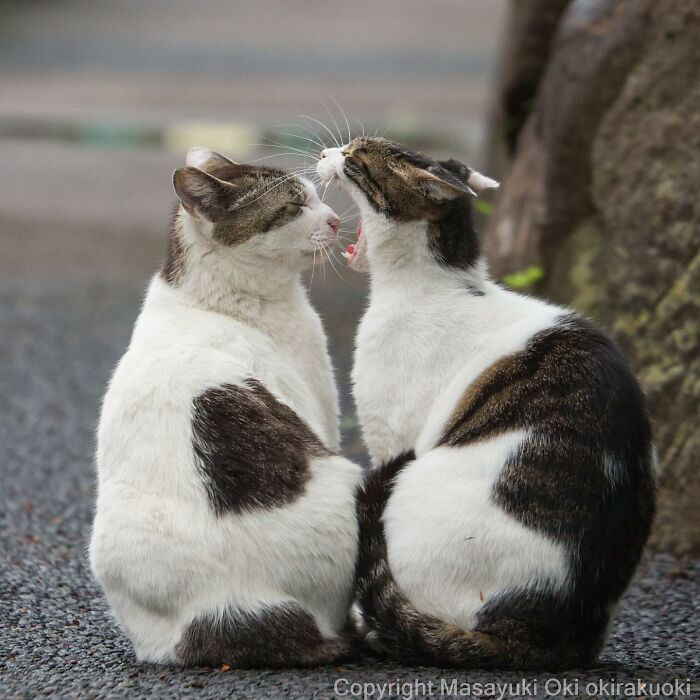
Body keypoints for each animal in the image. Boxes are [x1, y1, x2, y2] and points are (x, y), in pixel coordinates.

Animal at [90, 146, 360, 668]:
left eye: (315, 196)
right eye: (293, 206)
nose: (337, 221)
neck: (213, 299)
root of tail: (226, 607)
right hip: (345, 477)